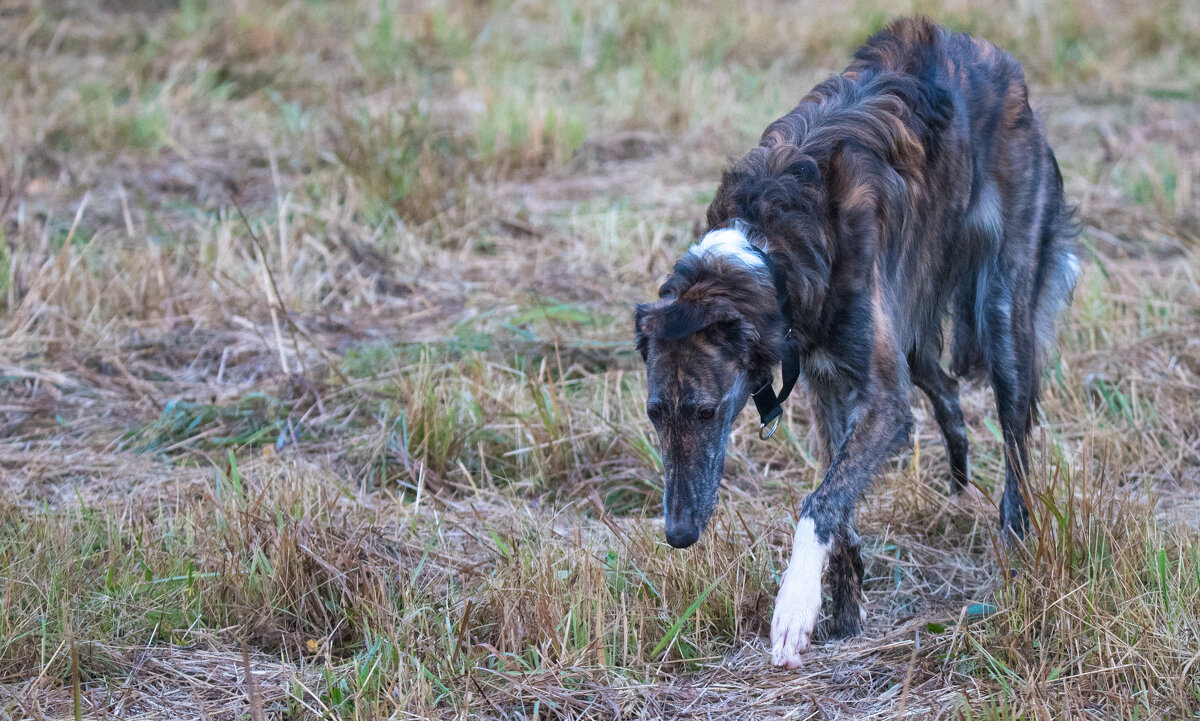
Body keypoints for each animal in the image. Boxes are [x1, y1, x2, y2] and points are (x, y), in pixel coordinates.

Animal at [638, 18, 1080, 667]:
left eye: (705, 411)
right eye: (654, 413)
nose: (678, 535)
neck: (771, 242)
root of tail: (990, 55)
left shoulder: (883, 397)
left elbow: (819, 502)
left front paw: (794, 610)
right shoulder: (826, 380)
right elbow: (838, 499)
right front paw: (844, 615)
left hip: (1002, 314)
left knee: (1017, 446)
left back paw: (1016, 551)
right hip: (915, 326)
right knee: (947, 390)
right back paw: (959, 482)